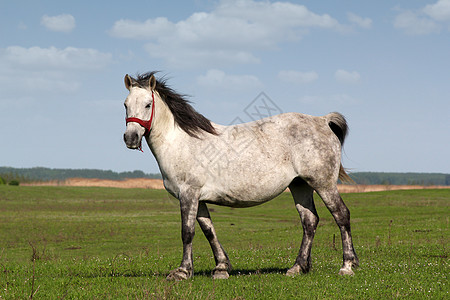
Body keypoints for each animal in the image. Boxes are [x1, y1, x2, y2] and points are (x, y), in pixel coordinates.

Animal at [122, 71, 358, 280]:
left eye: (148, 104)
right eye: (125, 104)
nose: (130, 138)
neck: (181, 142)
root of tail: (322, 121)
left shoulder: (188, 194)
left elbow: (187, 232)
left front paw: (182, 272)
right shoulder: (199, 198)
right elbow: (208, 230)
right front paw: (221, 268)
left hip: (323, 184)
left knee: (341, 215)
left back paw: (347, 266)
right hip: (300, 185)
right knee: (309, 221)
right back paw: (297, 267)